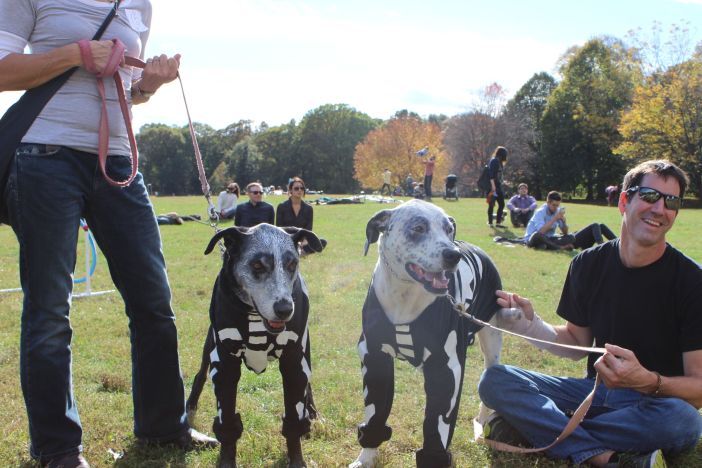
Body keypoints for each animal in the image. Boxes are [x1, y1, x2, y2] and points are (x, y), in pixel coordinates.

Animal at [184, 224, 322, 468]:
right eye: (257, 265)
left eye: (292, 264)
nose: (285, 309)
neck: (255, 317)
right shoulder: (225, 367)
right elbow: (227, 424)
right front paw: (226, 460)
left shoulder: (295, 363)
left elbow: (294, 420)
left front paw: (297, 458)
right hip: (209, 347)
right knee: (200, 375)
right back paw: (190, 405)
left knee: (309, 385)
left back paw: (312, 411)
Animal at [352, 200, 516, 468]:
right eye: (418, 228)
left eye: (449, 229)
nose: (453, 254)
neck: (405, 296)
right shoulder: (375, 359)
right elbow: (375, 414)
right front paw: (366, 456)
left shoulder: (446, 369)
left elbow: (437, 426)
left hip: (491, 342)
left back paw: (482, 423)